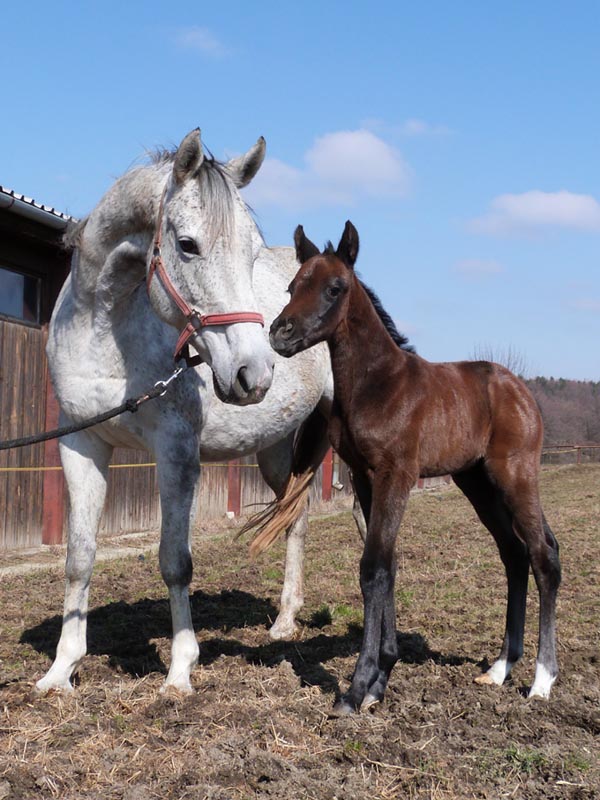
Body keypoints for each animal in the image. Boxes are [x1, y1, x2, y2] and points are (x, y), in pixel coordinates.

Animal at [36, 131, 332, 692]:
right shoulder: (82, 442)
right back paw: (285, 620)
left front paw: (179, 672)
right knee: (296, 516)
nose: (255, 373)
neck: (104, 326)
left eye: (252, 252)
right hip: (276, 450)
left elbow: (175, 561)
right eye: (188, 245)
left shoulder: (176, 452)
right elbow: (78, 558)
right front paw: (61, 670)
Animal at [270, 222, 560, 716]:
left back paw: (541, 679)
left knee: (542, 556)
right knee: (514, 553)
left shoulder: (396, 474)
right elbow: (385, 565)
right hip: (477, 482)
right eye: (292, 287)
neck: (379, 384)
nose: (279, 333)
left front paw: (356, 689)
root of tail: (520, 390)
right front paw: (380, 680)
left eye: (335, 287)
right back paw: (499, 669)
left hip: (515, 475)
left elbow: (373, 566)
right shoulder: (365, 477)